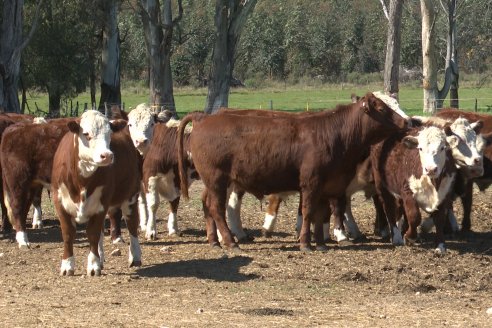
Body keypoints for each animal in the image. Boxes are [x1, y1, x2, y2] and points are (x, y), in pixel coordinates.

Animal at [52, 111, 142, 276]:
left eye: (109, 134)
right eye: (86, 134)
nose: (107, 155)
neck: (81, 181)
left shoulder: (102, 203)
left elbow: (92, 234)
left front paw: (93, 265)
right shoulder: (60, 201)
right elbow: (68, 234)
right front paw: (67, 265)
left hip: (131, 195)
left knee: (132, 224)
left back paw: (135, 256)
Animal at [179, 91, 410, 250]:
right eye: (382, 108)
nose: (407, 121)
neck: (334, 133)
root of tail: (203, 118)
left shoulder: (327, 185)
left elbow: (321, 213)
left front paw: (321, 243)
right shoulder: (311, 183)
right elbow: (308, 211)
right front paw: (306, 243)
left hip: (215, 182)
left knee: (208, 205)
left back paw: (214, 241)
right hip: (217, 179)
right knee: (217, 208)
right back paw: (230, 242)